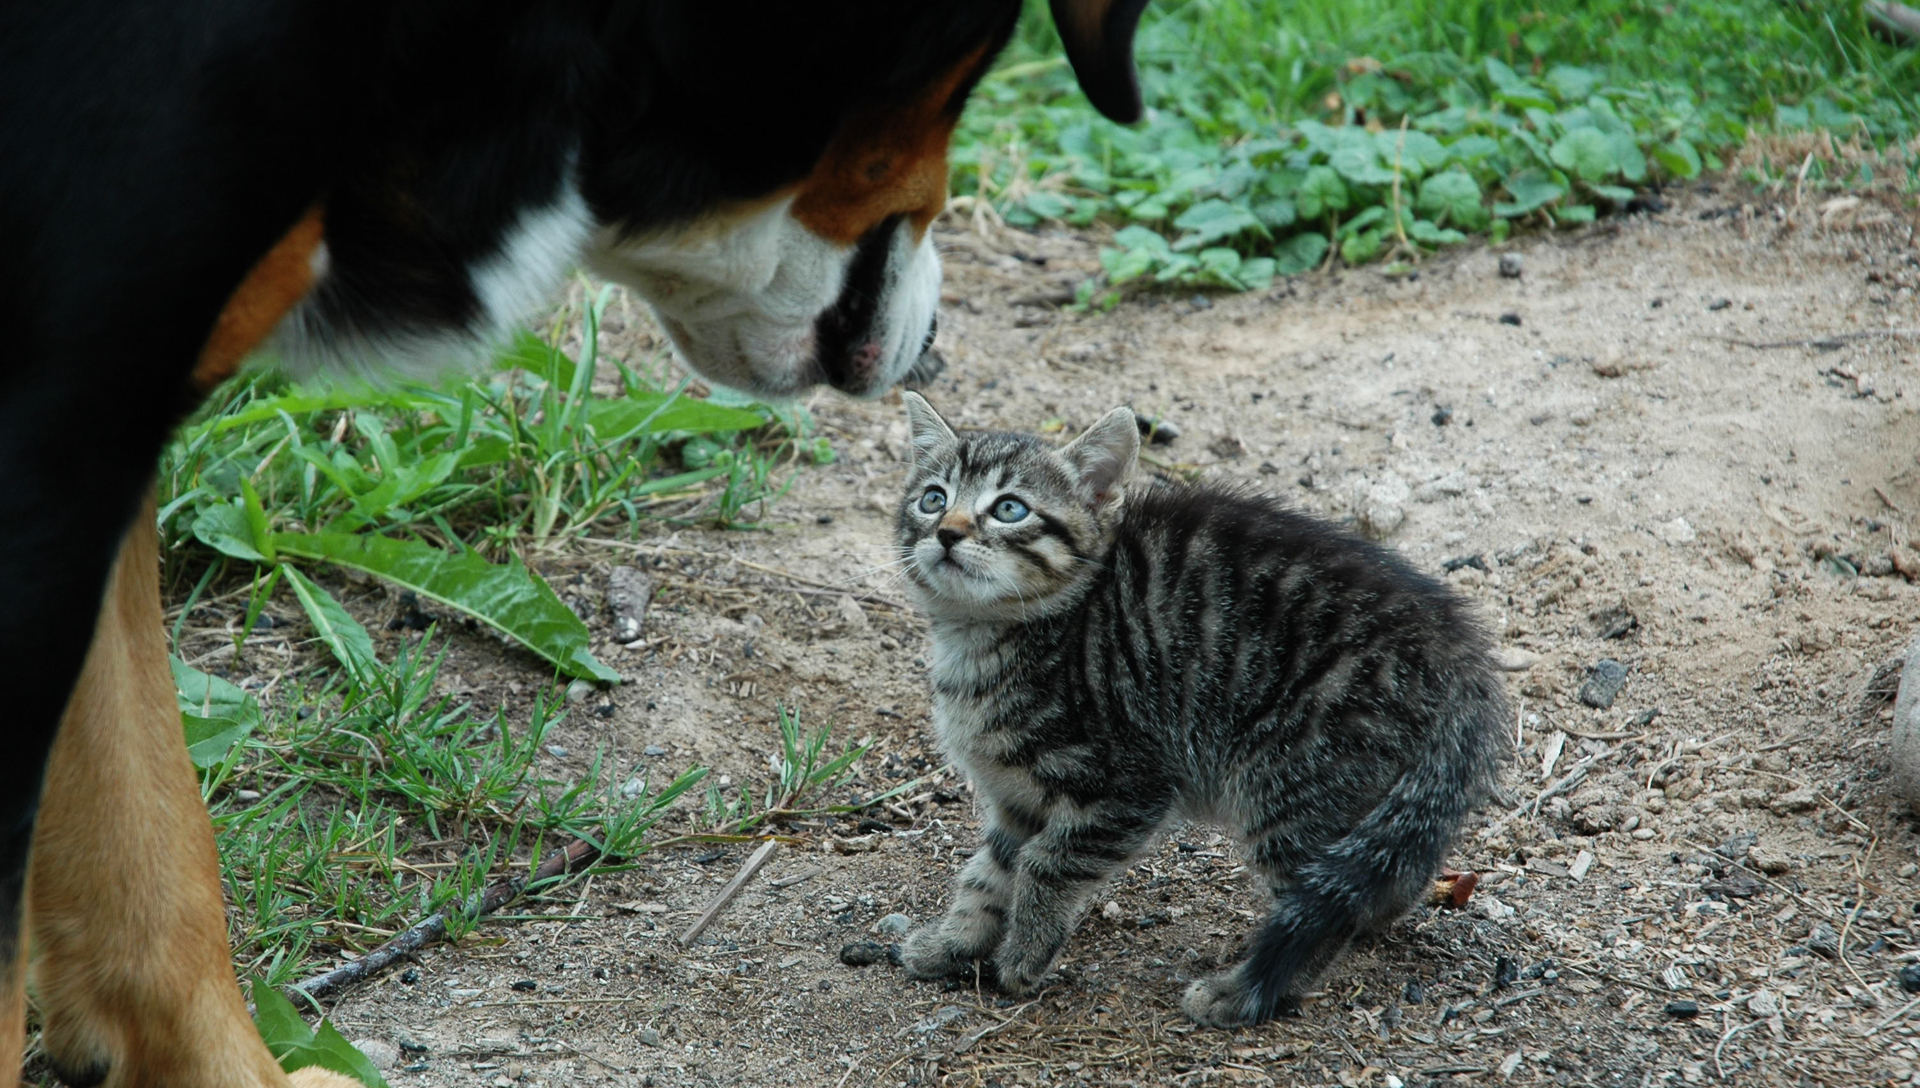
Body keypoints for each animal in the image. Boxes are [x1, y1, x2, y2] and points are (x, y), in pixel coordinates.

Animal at [898, 393, 1512, 1028]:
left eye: (1009, 509)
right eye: (933, 498)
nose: (947, 532)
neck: (980, 640)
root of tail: (1457, 651)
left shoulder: (1131, 782)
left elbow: (1048, 863)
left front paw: (1024, 951)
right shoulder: (1017, 797)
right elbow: (988, 873)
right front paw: (954, 942)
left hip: (1292, 779)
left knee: (1322, 904)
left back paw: (1241, 994)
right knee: (1384, 868)